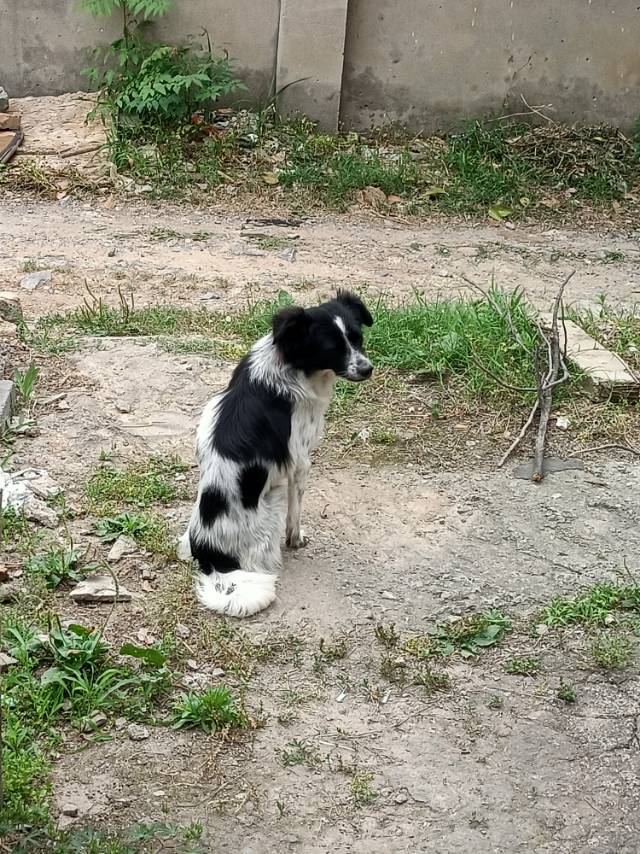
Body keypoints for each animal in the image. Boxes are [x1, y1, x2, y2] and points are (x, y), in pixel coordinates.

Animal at [178, 290, 372, 620]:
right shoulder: (301, 462)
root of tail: (211, 559)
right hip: (273, 500)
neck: (287, 364)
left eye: (357, 339)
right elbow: (296, 513)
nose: (367, 369)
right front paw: (297, 539)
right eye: (333, 349)